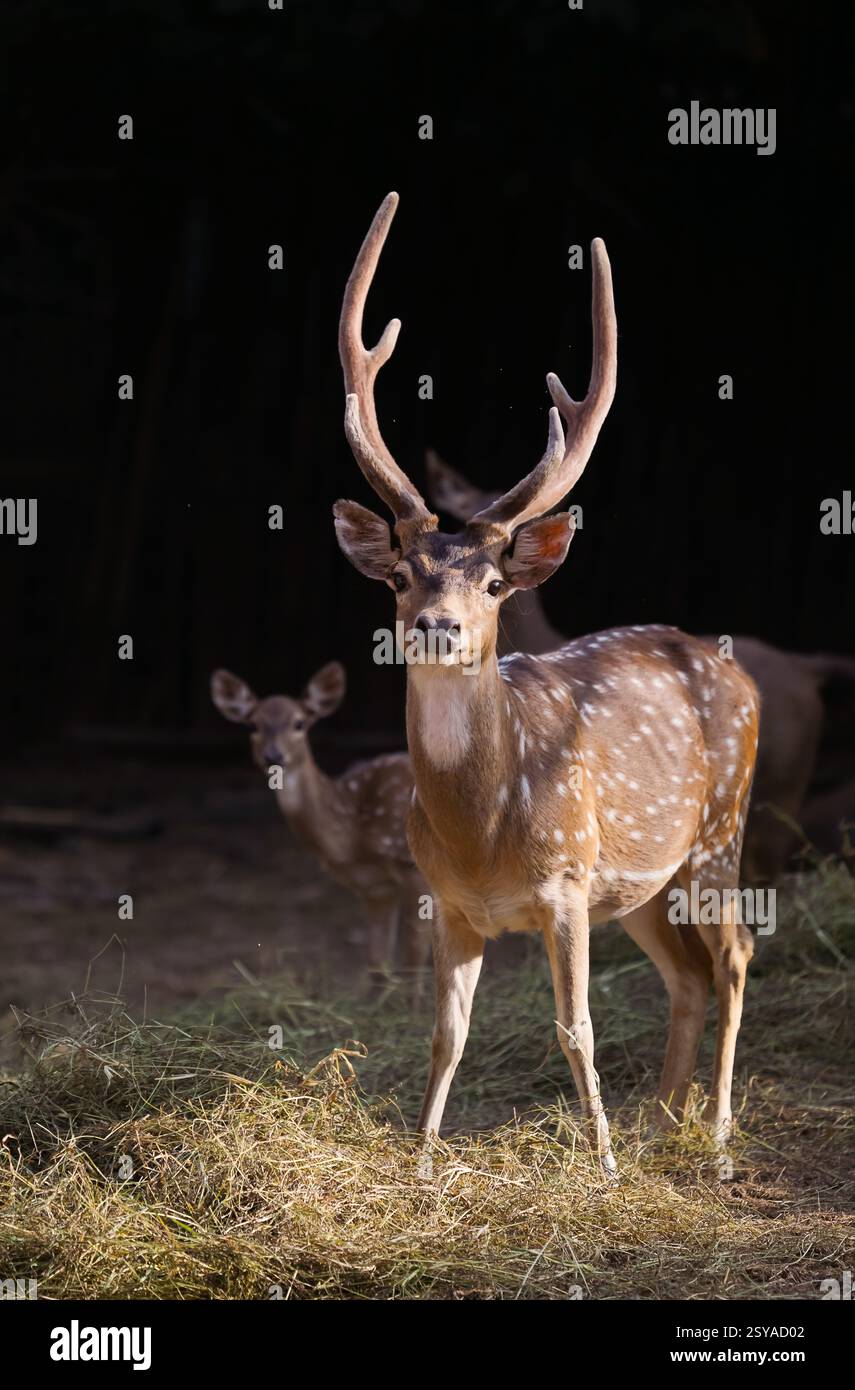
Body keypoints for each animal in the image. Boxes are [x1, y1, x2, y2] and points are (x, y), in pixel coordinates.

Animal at [211, 662, 429, 988]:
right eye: (253, 725)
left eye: (299, 723)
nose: (273, 755)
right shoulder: (375, 887)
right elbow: (377, 962)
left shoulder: (409, 866)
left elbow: (414, 959)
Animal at [332, 192, 759, 1174]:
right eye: (398, 574)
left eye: (493, 583)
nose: (437, 624)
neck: (481, 831)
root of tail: (730, 666)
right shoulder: (446, 901)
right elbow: (447, 1034)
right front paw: (421, 1162)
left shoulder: (565, 883)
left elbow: (576, 1028)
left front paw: (598, 1168)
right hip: (643, 881)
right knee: (686, 975)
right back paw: (661, 1122)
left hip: (718, 833)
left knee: (735, 956)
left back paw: (715, 1135)